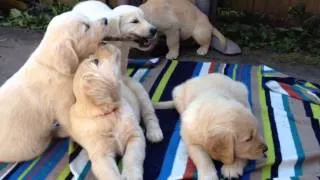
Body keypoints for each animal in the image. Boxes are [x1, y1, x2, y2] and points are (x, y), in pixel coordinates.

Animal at [0, 10, 111, 162]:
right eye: (86, 27)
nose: (106, 20)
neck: (53, 66)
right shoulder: (62, 102)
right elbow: (69, 119)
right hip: (29, 146)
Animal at [69, 43, 146, 180]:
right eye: (95, 61)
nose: (102, 42)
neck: (109, 114)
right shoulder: (101, 156)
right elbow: (110, 174)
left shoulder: (135, 135)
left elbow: (131, 157)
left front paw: (131, 175)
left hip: (139, 92)